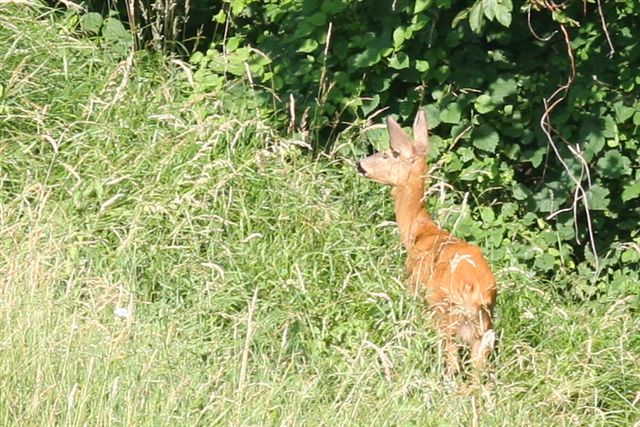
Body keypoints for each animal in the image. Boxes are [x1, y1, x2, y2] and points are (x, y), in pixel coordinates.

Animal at [358, 111, 498, 378]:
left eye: (388, 153)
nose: (360, 164)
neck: (420, 232)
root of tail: (475, 290)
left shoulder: (414, 286)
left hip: (444, 313)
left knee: (453, 363)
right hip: (483, 329)